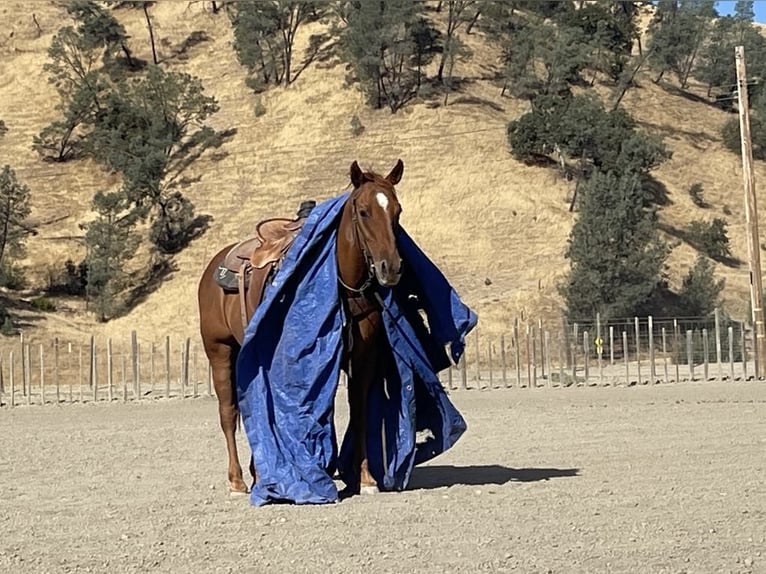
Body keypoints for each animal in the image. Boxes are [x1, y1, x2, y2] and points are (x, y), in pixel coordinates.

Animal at [197, 159, 405, 497]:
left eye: (397, 211)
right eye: (363, 211)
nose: (391, 268)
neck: (340, 284)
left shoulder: (362, 356)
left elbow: (358, 409)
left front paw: (365, 478)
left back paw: (259, 472)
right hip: (219, 351)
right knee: (228, 413)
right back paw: (238, 481)